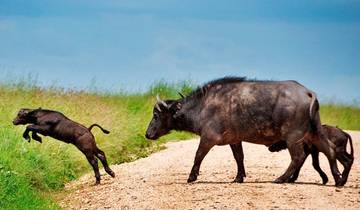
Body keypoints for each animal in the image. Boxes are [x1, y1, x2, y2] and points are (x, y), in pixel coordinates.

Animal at [143, 76, 344, 185]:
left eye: (156, 114)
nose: (147, 134)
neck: (203, 106)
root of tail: (308, 93)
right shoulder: (234, 140)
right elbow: (239, 157)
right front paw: (239, 177)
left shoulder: (208, 138)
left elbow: (198, 156)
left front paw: (191, 177)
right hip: (314, 132)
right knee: (329, 149)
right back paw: (338, 179)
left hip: (293, 136)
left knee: (298, 156)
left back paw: (281, 178)